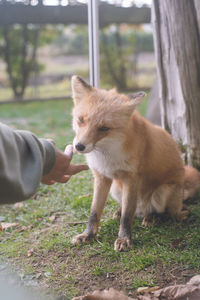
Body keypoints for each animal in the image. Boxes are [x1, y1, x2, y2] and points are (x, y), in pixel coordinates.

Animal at [70, 75, 200, 251]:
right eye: (81, 120)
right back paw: (124, 212)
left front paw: (124, 239)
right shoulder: (102, 177)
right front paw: (88, 235)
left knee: (163, 212)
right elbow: (94, 212)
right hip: (116, 188)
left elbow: (127, 216)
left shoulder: (131, 178)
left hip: (162, 192)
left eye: (104, 128)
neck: (108, 155)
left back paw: (154, 217)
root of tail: (180, 199)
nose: (79, 146)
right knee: (135, 210)